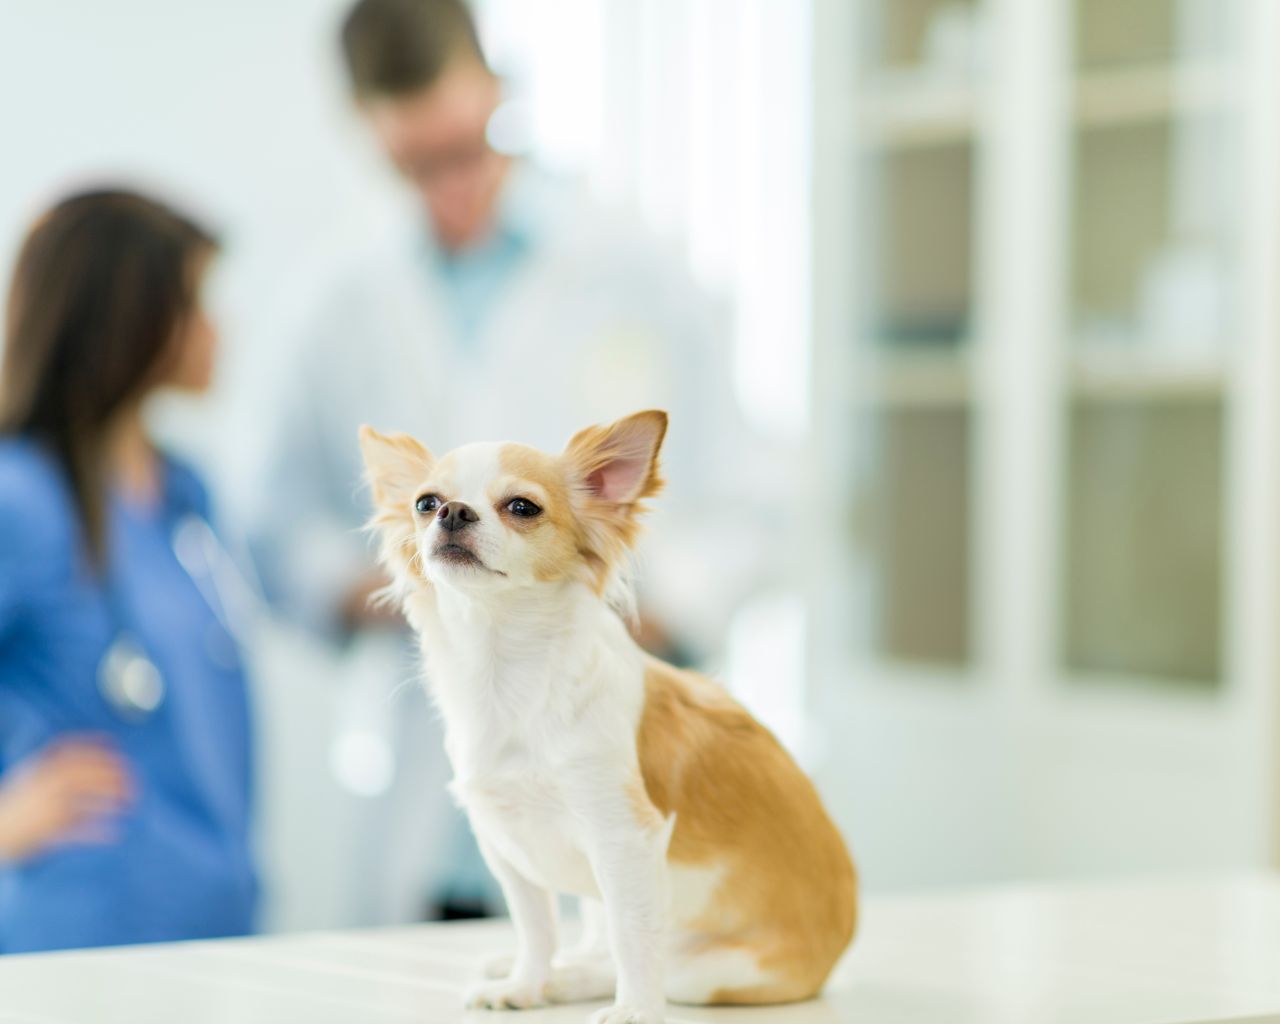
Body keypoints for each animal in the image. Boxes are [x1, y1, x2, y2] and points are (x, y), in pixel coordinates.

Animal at [360, 412, 855, 1018]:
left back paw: (573, 982)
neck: (506, 672)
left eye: (522, 506)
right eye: (425, 503)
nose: (452, 511)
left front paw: (634, 1011)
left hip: (712, 972)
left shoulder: (624, 840)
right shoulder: (504, 842)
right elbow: (536, 926)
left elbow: (632, 935)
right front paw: (522, 985)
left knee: (648, 960)